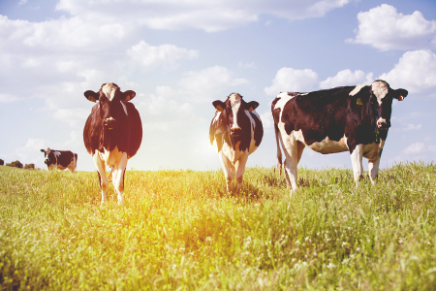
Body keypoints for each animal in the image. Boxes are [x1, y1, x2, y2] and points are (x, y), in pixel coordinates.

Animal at [272, 81, 408, 193]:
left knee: (287, 163)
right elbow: (359, 173)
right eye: (371, 101)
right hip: (288, 140)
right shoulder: (354, 142)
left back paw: (289, 189)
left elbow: (374, 174)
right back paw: (295, 191)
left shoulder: (378, 147)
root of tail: (281, 94)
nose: (382, 123)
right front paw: (360, 194)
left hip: (299, 143)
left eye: (390, 99)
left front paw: (375, 193)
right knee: (291, 166)